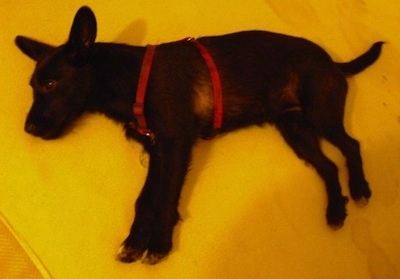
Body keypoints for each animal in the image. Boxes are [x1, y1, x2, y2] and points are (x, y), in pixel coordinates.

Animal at [15, 6, 382, 264]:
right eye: (33, 86)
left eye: (51, 84)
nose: (28, 130)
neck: (132, 78)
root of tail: (333, 61)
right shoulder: (158, 150)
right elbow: (145, 199)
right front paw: (134, 242)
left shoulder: (175, 145)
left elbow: (165, 197)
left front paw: (159, 244)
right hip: (295, 131)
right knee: (328, 166)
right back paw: (335, 211)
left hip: (321, 115)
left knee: (351, 145)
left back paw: (359, 189)